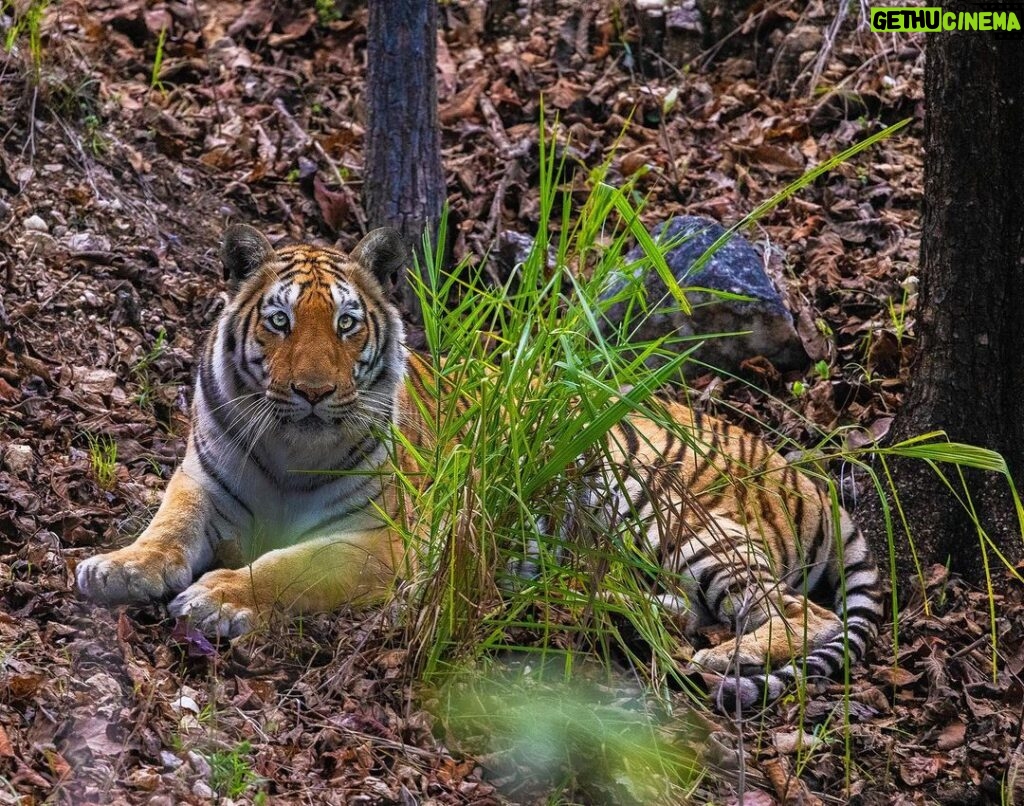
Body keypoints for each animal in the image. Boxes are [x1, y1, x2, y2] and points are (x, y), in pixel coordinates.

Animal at [77, 224, 880, 708]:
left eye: (346, 324)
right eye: (278, 322)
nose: (312, 391)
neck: (288, 448)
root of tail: (805, 475)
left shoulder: (391, 540)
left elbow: (293, 566)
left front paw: (218, 598)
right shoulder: (201, 482)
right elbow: (164, 529)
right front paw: (116, 569)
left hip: (662, 504)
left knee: (799, 614)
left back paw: (723, 661)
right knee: (685, 606)